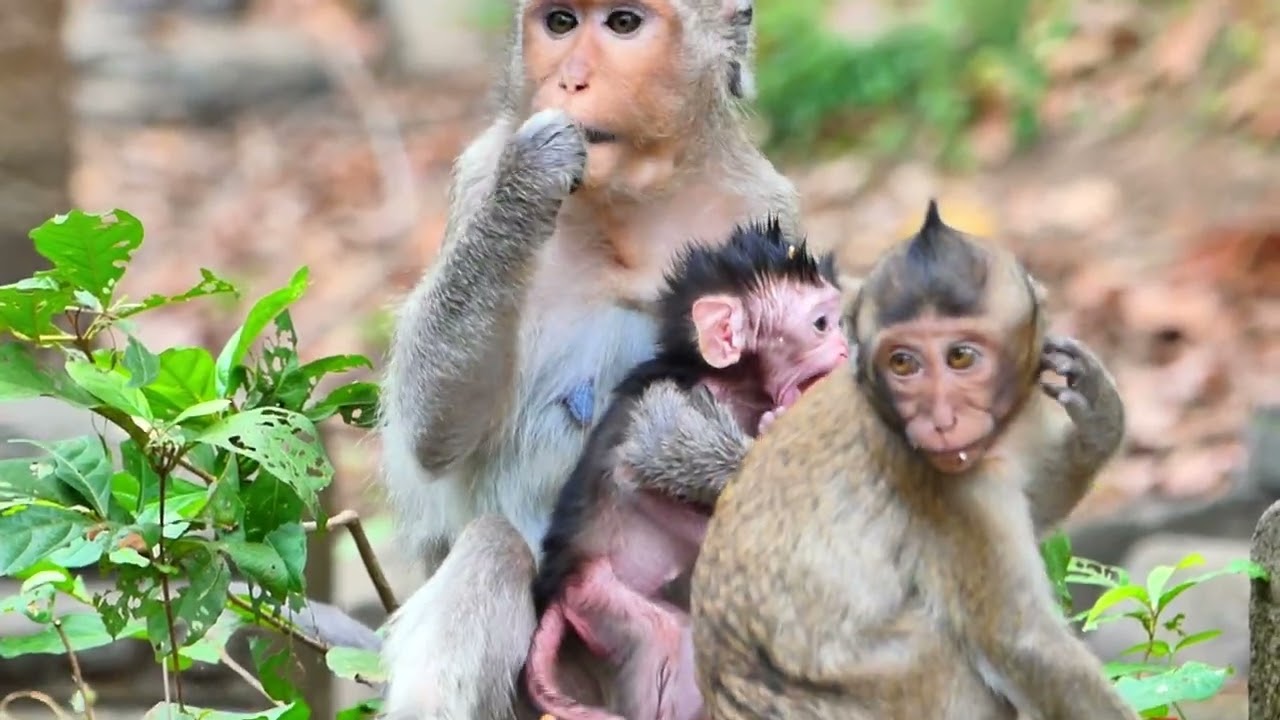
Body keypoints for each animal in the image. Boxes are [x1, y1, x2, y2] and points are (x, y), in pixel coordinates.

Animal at [524, 219, 849, 720]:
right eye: (821, 324)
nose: (845, 349)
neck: (737, 387)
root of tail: (559, 581)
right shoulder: (684, 395)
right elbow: (644, 460)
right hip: (597, 594)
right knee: (670, 640)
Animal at [688, 200, 1139, 720]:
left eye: (960, 357)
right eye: (902, 363)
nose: (939, 419)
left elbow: (1036, 502)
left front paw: (1099, 421)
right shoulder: (930, 477)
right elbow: (1019, 640)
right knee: (930, 647)